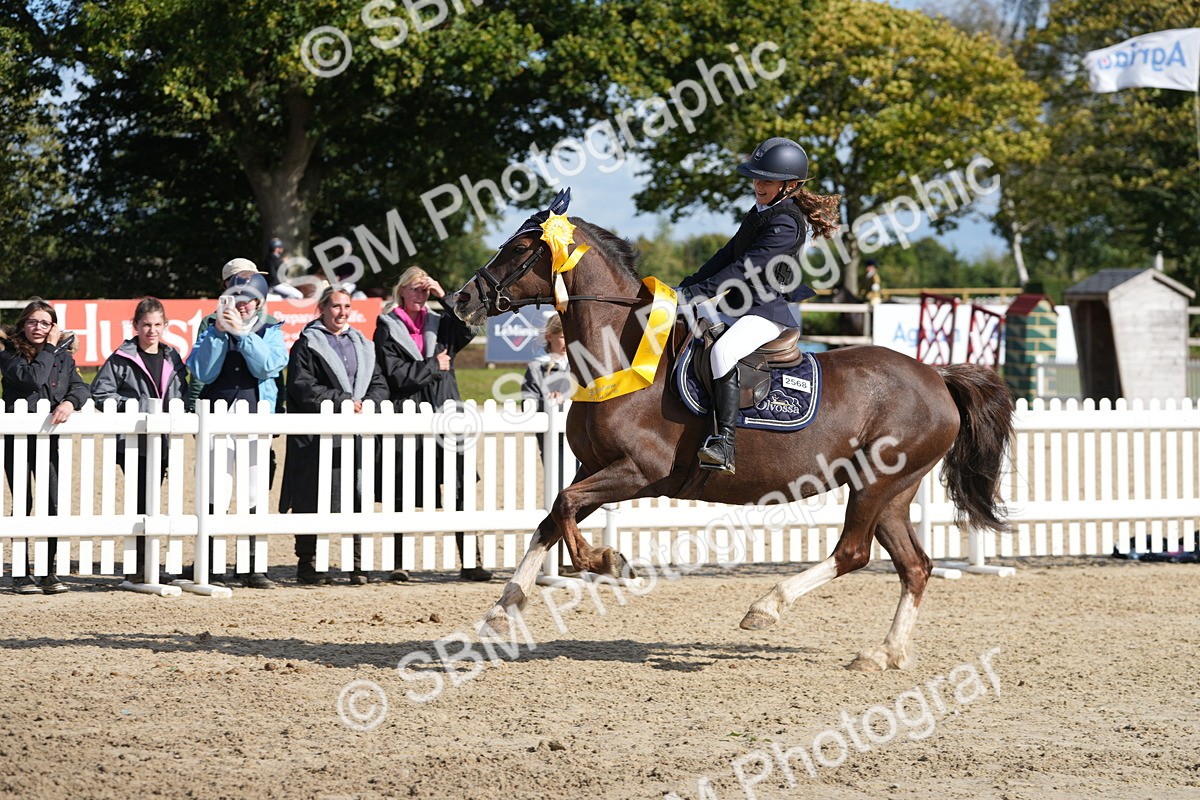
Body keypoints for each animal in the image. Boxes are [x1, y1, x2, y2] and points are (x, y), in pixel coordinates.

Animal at [453, 214, 1013, 671]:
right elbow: (552, 517)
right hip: (894, 491)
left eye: (521, 247)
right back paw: (884, 654)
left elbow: (565, 509)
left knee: (853, 552)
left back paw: (766, 607)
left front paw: (609, 562)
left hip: (875, 482)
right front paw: (502, 611)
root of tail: (937, 376)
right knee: (914, 566)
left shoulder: (638, 471)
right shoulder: (593, 468)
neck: (619, 356)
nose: (462, 299)